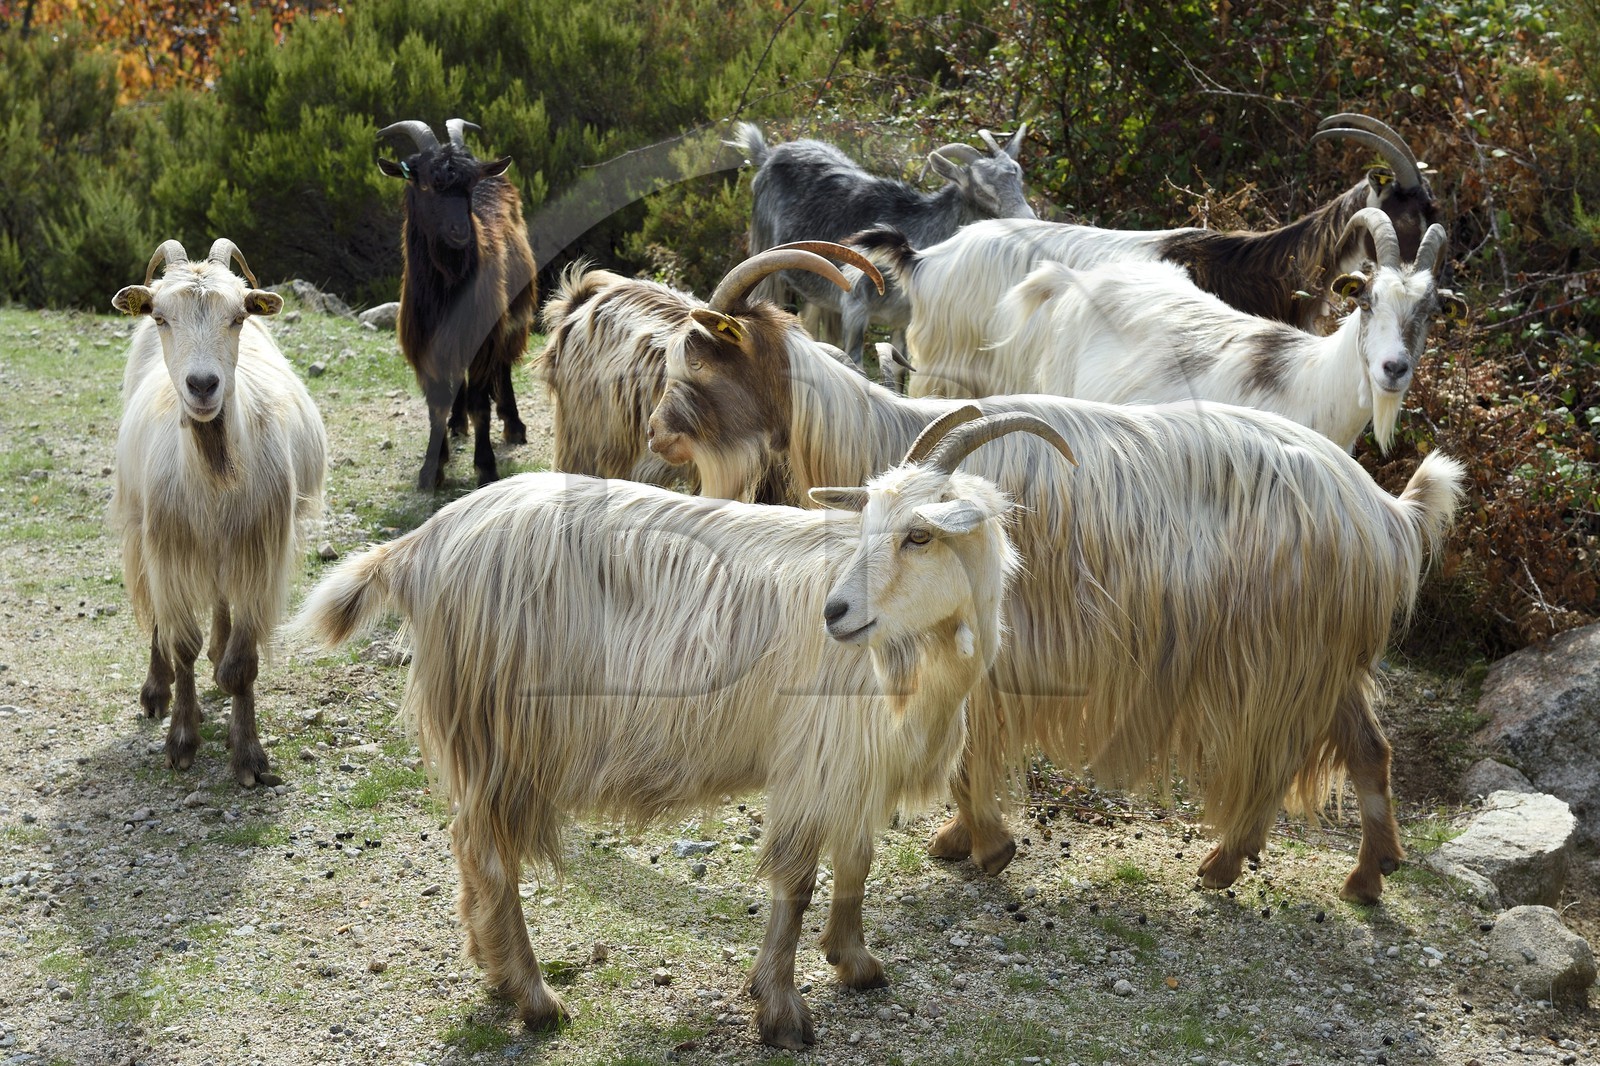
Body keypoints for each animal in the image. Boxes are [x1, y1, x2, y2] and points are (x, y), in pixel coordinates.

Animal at [111, 239, 327, 787]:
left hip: (225, 548)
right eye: (162, 317)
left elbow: (241, 666)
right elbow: (180, 644)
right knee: (158, 617)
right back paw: (156, 689)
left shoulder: (259, 552)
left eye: (238, 317)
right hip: (143, 525)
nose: (203, 385)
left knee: (220, 601)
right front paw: (182, 740)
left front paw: (247, 753)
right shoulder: (168, 548)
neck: (215, 479)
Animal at [292, 412, 1071, 1049]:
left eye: (918, 534)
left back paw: (494, 971)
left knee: (467, 845)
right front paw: (781, 1011)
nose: (836, 612)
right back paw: (536, 999)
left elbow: (856, 864)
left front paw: (855, 963)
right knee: (488, 853)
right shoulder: (814, 760)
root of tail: (422, 543)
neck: (921, 660)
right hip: (502, 730)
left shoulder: (857, 767)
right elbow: (796, 884)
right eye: (870, 527)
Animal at [378, 117, 537, 488]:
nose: (460, 231)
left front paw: (486, 467)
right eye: (422, 184)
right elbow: (436, 405)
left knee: (503, 366)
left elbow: (481, 403)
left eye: (468, 186)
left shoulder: (483, 336)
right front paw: (431, 469)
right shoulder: (424, 344)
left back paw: (513, 424)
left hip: (511, 315)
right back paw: (457, 422)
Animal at [647, 284, 1466, 904]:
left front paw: (985, 844)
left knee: (1280, 758)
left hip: (1279, 657)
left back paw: (1230, 862)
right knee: (1369, 747)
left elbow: (970, 747)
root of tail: (1387, 513)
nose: (655, 436)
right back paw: (1367, 875)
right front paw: (963, 840)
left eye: (700, 361)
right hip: (1325, 660)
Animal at [737, 122, 1032, 368]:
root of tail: (767, 154)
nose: (1028, 217)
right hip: (765, 257)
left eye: (1018, 176)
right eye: (981, 187)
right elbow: (855, 362)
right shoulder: (855, 308)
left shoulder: (902, 321)